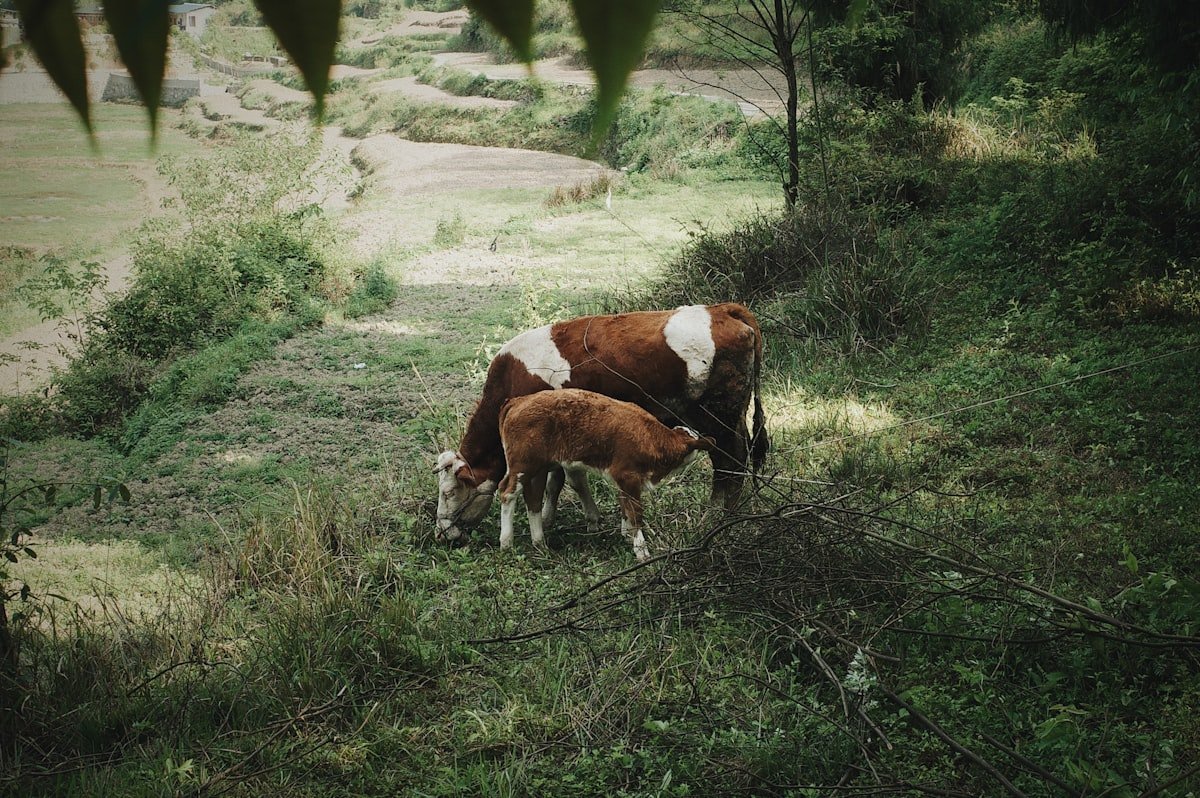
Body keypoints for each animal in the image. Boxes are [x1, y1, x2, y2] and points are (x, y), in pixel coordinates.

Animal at [494, 386, 710, 559]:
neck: (651, 438)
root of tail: (517, 400)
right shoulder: (627, 475)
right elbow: (635, 511)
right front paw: (641, 551)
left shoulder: (623, 480)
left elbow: (624, 505)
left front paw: (626, 535)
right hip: (523, 464)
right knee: (507, 492)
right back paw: (506, 543)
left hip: (539, 468)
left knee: (534, 500)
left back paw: (540, 543)